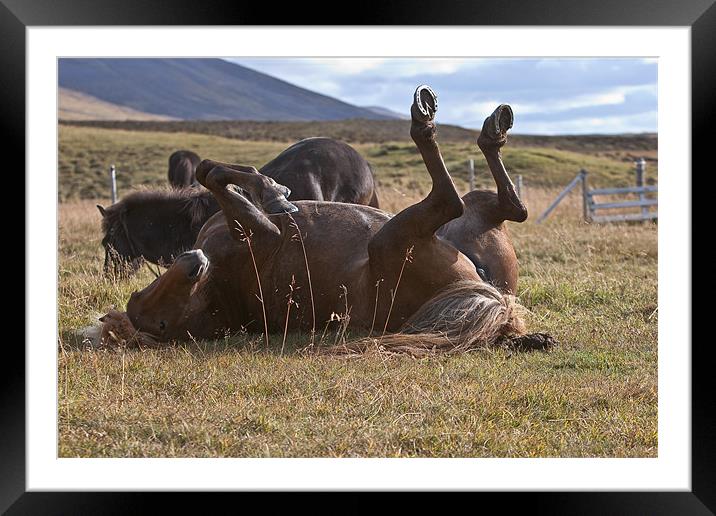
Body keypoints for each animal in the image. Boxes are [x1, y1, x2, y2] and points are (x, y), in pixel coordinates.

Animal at [103, 87, 552, 354]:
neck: (220, 288)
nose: (194, 265)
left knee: (509, 206)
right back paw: (427, 118)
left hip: (469, 226)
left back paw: (491, 127)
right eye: (161, 321)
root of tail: (496, 304)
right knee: (455, 200)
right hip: (395, 238)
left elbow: (210, 171)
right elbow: (218, 178)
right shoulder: (261, 232)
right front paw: (275, 193)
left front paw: (275, 190)